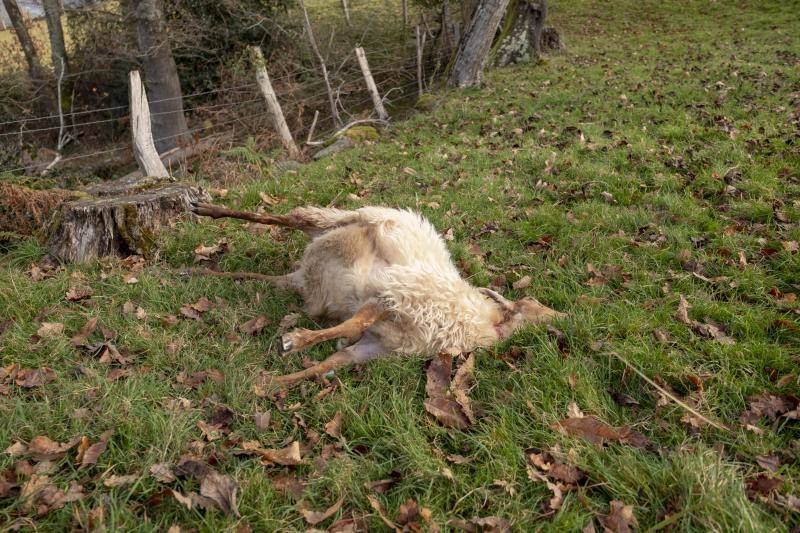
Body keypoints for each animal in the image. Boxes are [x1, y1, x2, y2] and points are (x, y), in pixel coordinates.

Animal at [190, 202, 566, 386]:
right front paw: (295, 342)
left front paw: (269, 383)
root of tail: (301, 274)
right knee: (289, 217)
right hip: (349, 216)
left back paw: (203, 272)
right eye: (531, 304)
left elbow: (333, 361)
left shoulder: (378, 344)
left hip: (307, 275)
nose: (565, 319)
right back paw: (206, 210)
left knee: (271, 275)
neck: (478, 322)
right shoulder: (393, 295)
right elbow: (354, 324)